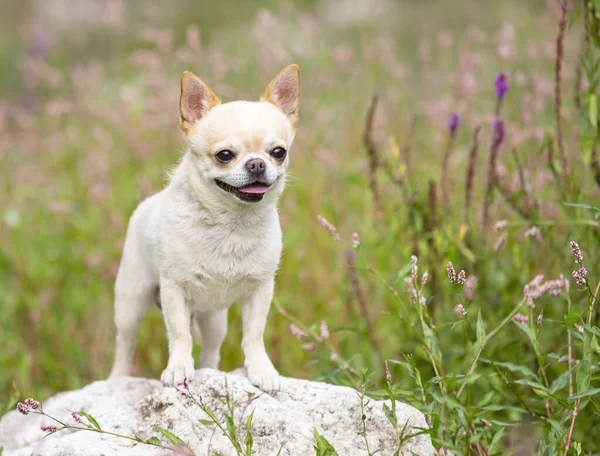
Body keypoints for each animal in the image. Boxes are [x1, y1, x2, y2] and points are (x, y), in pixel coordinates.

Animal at [108, 65, 300, 392]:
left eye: (279, 152)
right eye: (224, 155)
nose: (257, 164)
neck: (231, 224)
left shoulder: (260, 290)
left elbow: (253, 334)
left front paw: (260, 369)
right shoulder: (174, 290)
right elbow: (179, 335)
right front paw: (178, 368)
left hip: (214, 318)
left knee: (211, 349)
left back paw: (211, 372)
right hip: (130, 303)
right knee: (125, 343)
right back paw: (117, 379)